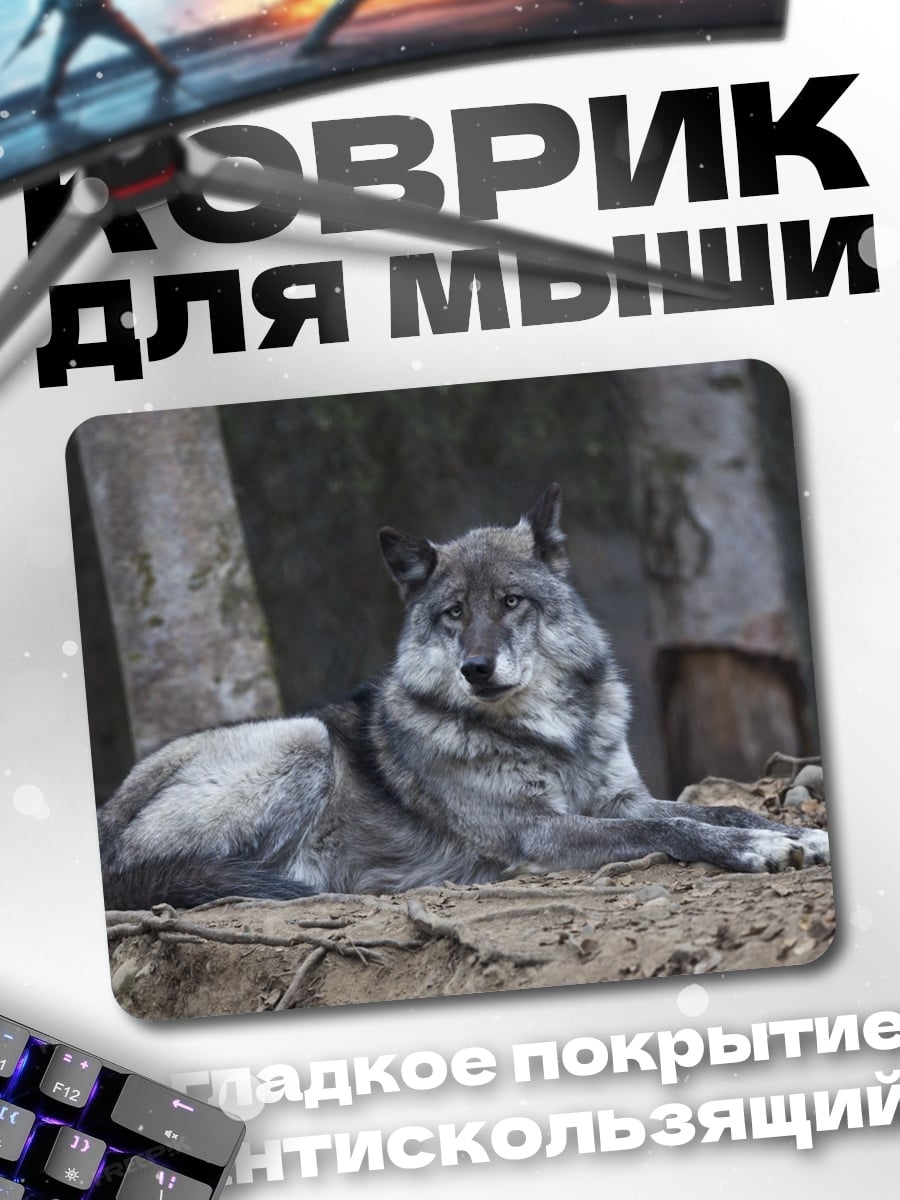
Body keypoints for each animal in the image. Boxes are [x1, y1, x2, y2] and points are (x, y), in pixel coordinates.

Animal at [98, 484, 828, 910]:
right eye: (454, 613)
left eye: (510, 602)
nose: (476, 668)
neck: (549, 735)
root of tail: (104, 819)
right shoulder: (538, 830)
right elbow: (671, 827)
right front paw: (758, 852)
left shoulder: (617, 798)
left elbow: (721, 808)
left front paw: (798, 833)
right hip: (301, 737)